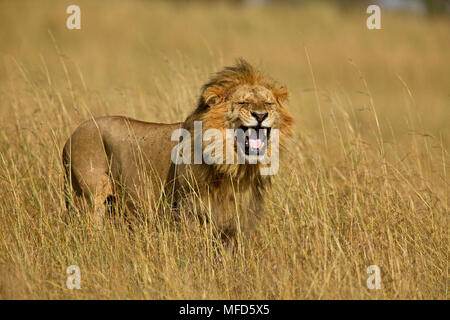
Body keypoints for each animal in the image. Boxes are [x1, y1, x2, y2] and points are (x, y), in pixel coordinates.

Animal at [64, 60, 296, 241]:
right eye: (242, 102)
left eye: (268, 103)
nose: (261, 115)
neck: (234, 166)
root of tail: (73, 133)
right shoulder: (187, 211)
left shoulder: (239, 220)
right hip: (89, 198)